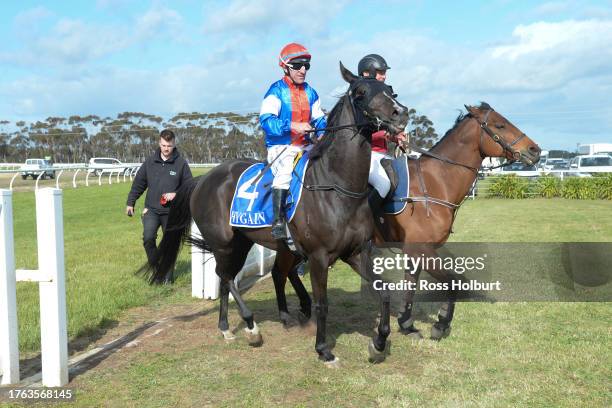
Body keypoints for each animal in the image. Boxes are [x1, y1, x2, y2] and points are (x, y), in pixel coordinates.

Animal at [143, 63, 408, 364]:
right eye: (361, 91)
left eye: (389, 89)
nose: (401, 113)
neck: (337, 186)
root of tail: (204, 178)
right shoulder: (319, 257)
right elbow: (322, 304)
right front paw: (323, 349)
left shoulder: (355, 251)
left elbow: (384, 292)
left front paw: (379, 342)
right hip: (224, 243)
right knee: (226, 276)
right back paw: (250, 326)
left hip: (245, 242)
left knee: (239, 278)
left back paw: (226, 328)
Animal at [382, 103, 540, 340]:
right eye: (500, 125)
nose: (535, 150)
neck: (434, 183)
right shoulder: (421, 249)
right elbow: (452, 281)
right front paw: (441, 324)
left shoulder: (415, 252)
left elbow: (411, 285)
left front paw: (406, 324)